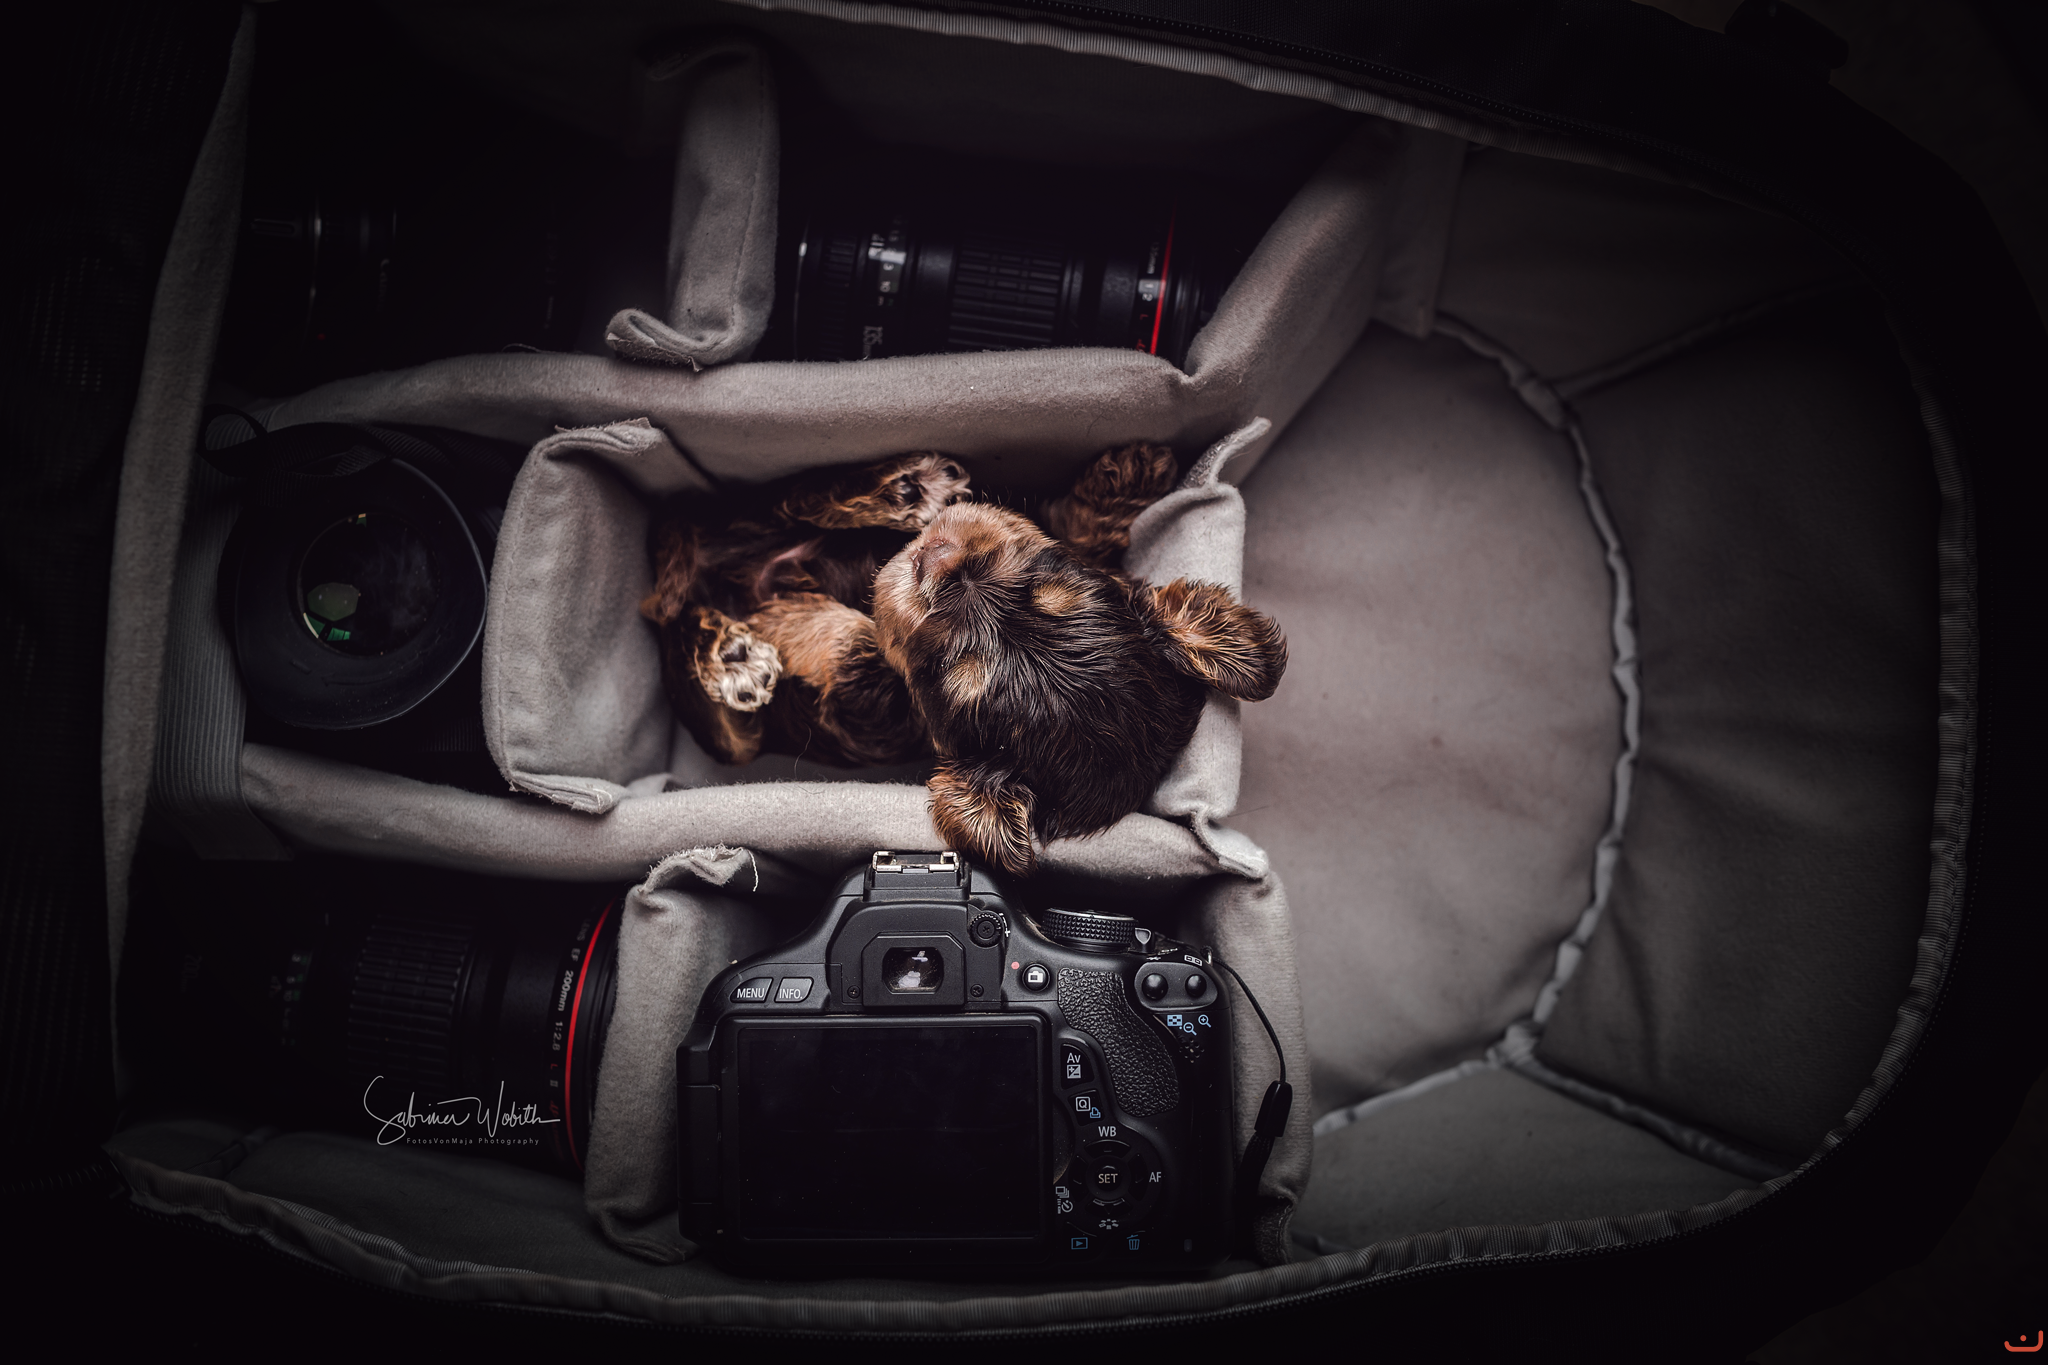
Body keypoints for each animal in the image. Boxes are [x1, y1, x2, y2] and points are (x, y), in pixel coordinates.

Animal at [641, 444, 1286, 875]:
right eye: (1051, 585)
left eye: (951, 667)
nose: (939, 559)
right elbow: (1068, 523)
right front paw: (1132, 475)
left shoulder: (868, 712)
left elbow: (860, 648)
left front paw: (787, 617)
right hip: (758, 512)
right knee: (797, 499)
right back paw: (905, 488)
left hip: (731, 731)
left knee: (682, 629)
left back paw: (733, 654)